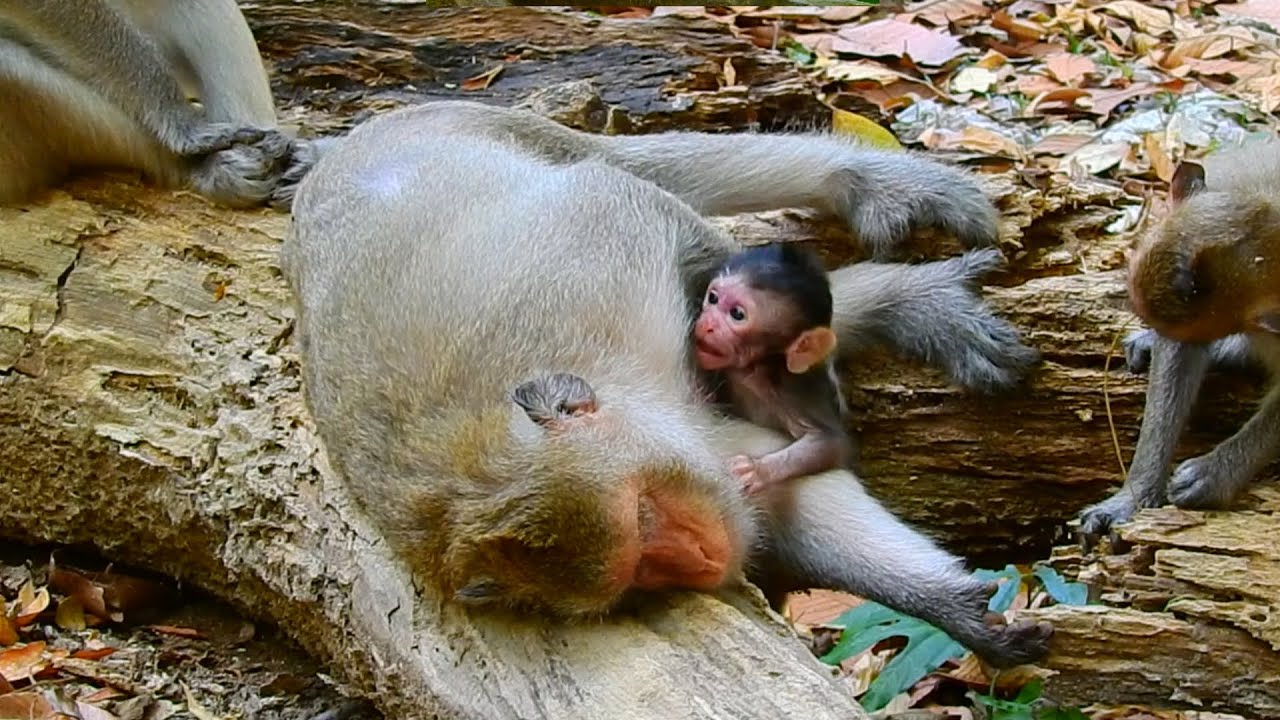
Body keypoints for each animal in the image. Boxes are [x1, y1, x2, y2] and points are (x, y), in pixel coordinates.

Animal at [692, 243, 856, 495]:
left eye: (737, 314)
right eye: (713, 298)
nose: (707, 324)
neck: (757, 369)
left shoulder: (792, 390)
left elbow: (830, 443)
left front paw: (759, 470)